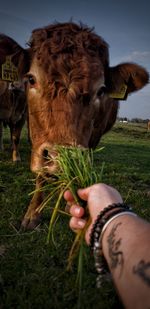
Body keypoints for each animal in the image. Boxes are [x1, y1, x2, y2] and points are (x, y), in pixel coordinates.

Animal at [0, 22, 148, 227]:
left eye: (101, 90)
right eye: (31, 79)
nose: (60, 157)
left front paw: (72, 202)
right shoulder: (33, 132)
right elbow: (40, 175)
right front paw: (32, 214)